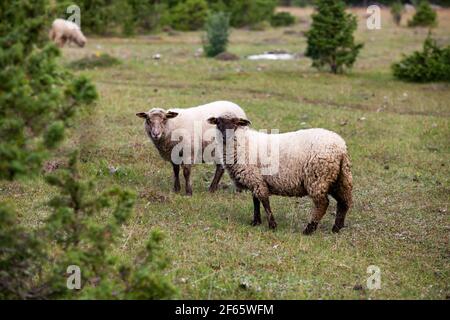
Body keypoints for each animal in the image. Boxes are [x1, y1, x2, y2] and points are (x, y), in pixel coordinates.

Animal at [207, 112, 352, 235]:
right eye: (218, 123)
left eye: (235, 124)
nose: (225, 137)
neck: (243, 143)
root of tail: (340, 148)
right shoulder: (256, 179)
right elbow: (256, 201)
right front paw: (256, 222)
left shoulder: (255, 178)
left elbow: (264, 201)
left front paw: (272, 225)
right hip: (340, 178)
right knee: (344, 202)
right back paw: (336, 228)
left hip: (317, 178)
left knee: (323, 204)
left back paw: (309, 229)